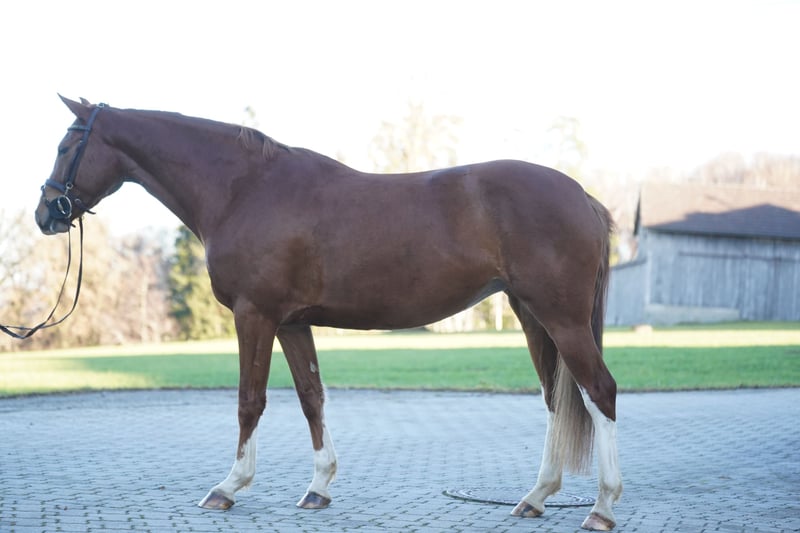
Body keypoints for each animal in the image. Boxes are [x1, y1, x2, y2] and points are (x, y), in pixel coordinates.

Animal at [35, 96, 622, 531]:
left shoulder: (255, 315)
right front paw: (318, 488)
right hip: (532, 315)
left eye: (66, 145)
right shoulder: (293, 322)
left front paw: (228, 487)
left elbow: (250, 401)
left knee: (599, 392)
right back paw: (536, 497)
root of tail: (583, 196)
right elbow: (311, 397)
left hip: (562, 319)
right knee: (555, 399)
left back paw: (601, 507)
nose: (45, 213)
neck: (244, 190)